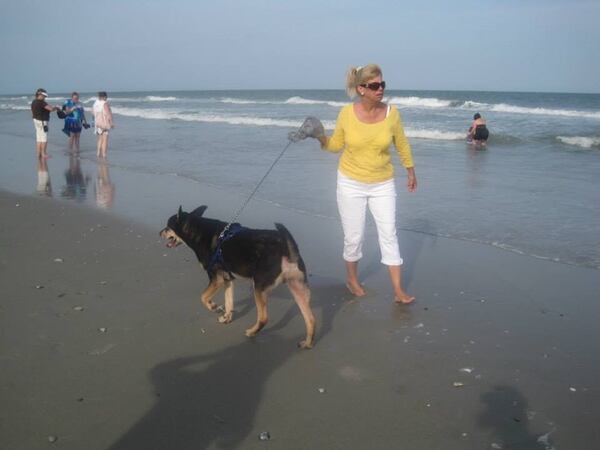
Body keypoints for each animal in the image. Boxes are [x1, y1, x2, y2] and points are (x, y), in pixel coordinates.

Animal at [159, 206, 318, 350]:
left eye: (167, 227)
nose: (159, 233)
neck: (197, 231)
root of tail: (287, 248)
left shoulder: (216, 279)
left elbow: (203, 297)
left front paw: (214, 307)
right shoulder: (227, 280)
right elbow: (229, 302)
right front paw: (226, 318)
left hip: (259, 288)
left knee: (263, 318)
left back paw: (251, 332)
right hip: (297, 288)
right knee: (311, 319)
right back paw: (308, 343)